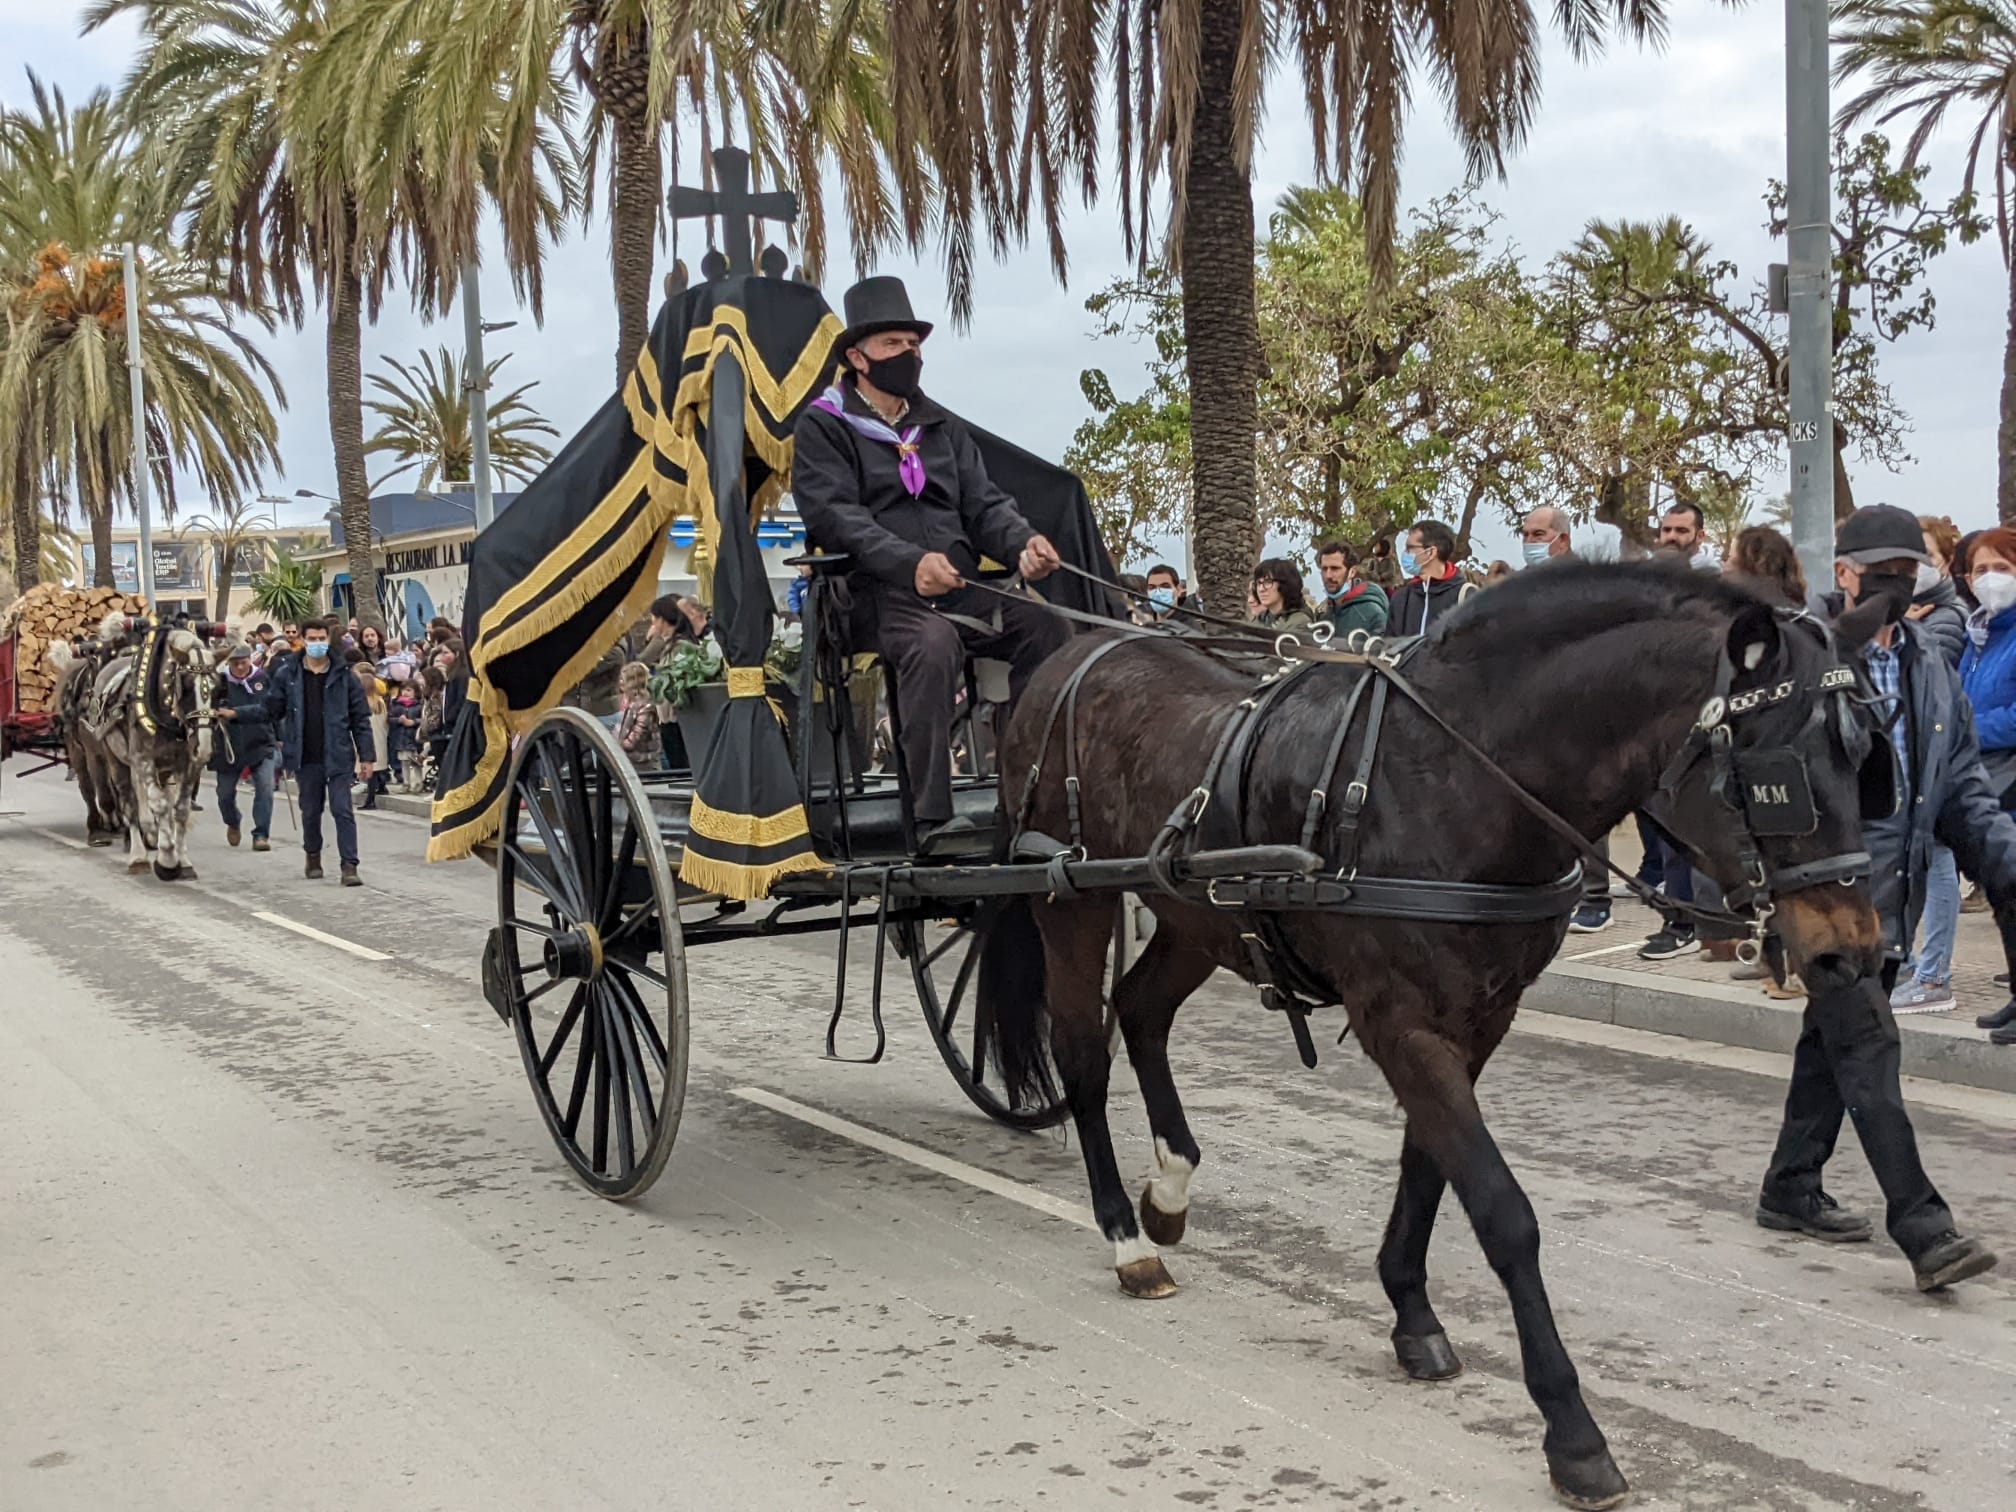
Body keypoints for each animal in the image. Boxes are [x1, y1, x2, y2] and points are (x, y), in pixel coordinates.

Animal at [975, 564, 1886, 1507]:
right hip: (1069, 900)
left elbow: (1429, 1167)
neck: (1449, 777)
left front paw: (1410, 1312)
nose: (1849, 954)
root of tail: (1073, 656)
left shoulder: (1477, 1020)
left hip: (1196, 915)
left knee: (1142, 1012)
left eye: (1866, 760)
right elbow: (1502, 1211)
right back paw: (1124, 1236)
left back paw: (1169, 1186)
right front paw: (1572, 1429)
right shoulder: (1400, 1021)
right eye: (1777, 773)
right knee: (1084, 1055)